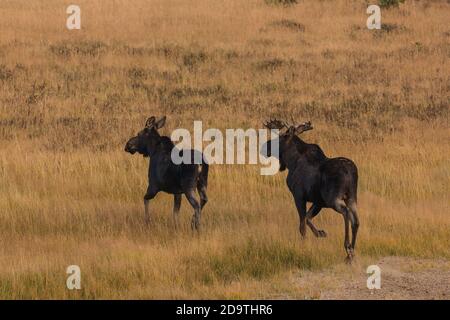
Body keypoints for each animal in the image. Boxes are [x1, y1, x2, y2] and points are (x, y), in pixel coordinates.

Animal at [262, 119, 360, 262]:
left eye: (280, 137)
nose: (264, 147)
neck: (291, 161)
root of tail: (350, 172)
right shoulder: (318, 201)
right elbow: (308, 218)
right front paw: (320, 233)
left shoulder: (299, 196)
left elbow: (302, 224)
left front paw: (304, 244)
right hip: (352, 197)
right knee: (356, 221)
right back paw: (351, 253)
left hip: (334, 199)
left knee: (346, 213)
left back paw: (348, 247)